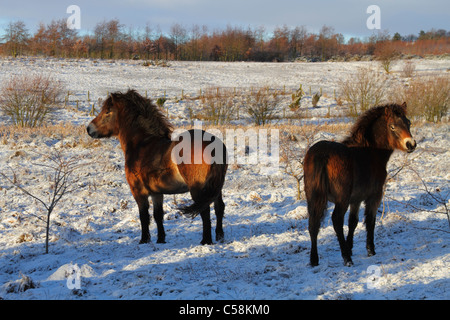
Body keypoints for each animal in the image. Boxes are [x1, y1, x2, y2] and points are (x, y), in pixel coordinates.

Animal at [87, 90, 229, 245]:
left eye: (107, 111)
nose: (89, 128)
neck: (141, 145)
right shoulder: (156, 193)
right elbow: (158, 215)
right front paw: (161, 239)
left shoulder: (139, 192)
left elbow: (144, 216)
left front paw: (144, 240)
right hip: (215, 188)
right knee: (219, 208)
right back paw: (220, 237)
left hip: (198, 189)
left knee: (205, 211)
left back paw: (206, 241)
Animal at [304, 104, 416, 266]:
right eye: (392, 126)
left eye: (408, 123)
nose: (411, 144)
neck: (371, 152)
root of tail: (322, 155)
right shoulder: (374, 196)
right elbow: (370, 221)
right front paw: (370, 250)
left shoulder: (355, 199)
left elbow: (353, 222)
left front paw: (350, 246)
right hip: (341, 199)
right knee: (336, 220)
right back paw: (347, 259)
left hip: (313, 197)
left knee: (313, 224)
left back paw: (314, 260)